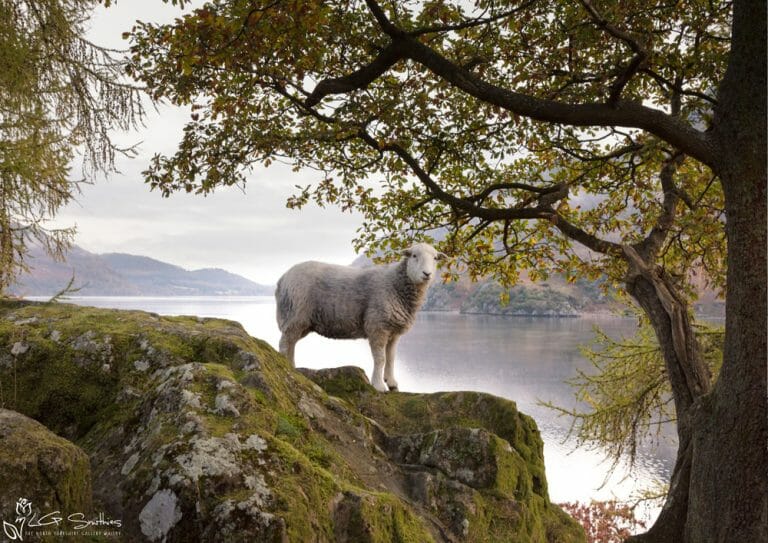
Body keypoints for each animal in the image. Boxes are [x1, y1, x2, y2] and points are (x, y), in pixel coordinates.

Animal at [275, 243, 445, 392]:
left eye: (435, 258)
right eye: (414, 256)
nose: (427, 274)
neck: (396, 284)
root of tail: (282, 279)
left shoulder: (394, 331)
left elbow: (391, 358)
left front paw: (391, 382)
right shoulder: (377, 326)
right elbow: (380, 358)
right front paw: (378, 385)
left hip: (301, 321)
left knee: (291, 344)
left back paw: (292, 368)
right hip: (294, 315)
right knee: (284, 344)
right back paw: (285, 368)